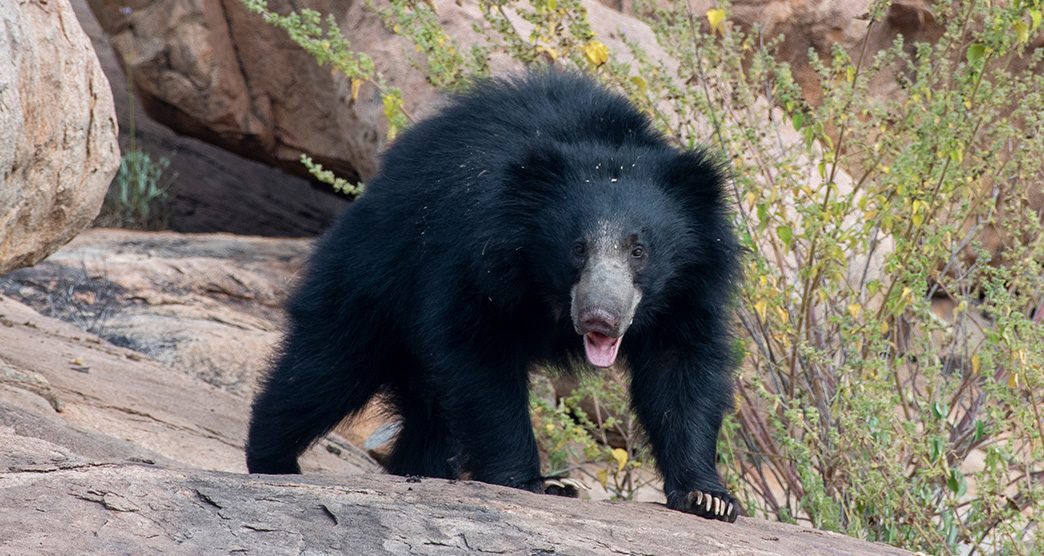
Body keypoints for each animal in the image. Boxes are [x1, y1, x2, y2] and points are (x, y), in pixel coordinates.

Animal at [247, 70, 743, 519]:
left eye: (640, 250)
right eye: (577, 248)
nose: (600, 318)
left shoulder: (691, 288)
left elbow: (679, 370)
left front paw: (708, 498)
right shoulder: (476, 262)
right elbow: (481, 359)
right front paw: (532, 483)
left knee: (425, 413)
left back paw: (417, 472)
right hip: (375, 274)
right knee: (326, 368)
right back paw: (273, 461)